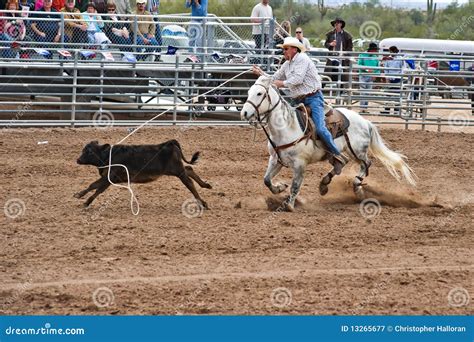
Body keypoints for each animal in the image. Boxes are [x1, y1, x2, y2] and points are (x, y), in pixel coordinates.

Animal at [241, 76, 414, 211]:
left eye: (259, 93)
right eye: (249, 92)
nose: (244, 113)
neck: (287, 127)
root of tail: (365, 121)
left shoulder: (300, 164)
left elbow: (295, 185)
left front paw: (289, 205)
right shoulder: (276, 159)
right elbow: (266, 180)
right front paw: (280, 187)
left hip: (357, 151)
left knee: (365, 164)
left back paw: (356, 187)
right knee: (342, 163)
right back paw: (325, 184)